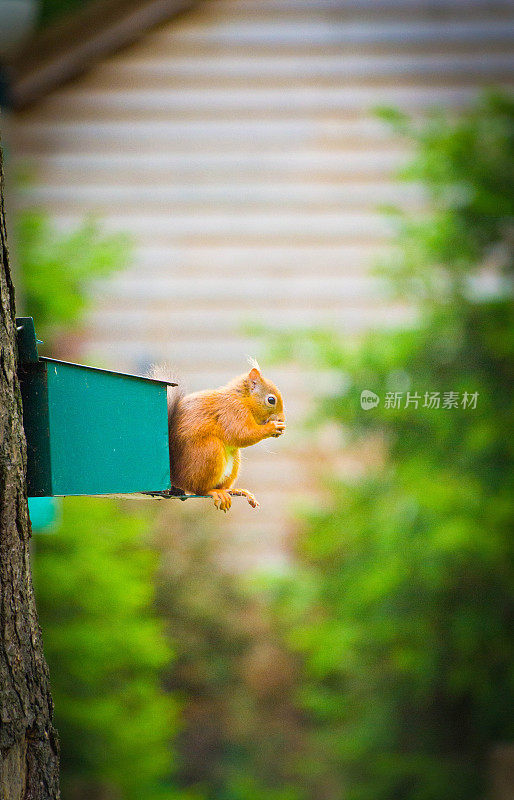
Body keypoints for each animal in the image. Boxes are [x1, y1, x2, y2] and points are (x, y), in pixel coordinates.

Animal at [162, 362, 284, 512]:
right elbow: (242, 434)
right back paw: (214, 492)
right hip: (210, 451)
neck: (243, 399)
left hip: (233, 459)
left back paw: (235, 491)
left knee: (223, 486)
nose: (282, 419)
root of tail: (176, 478)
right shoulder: (233, 412)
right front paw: (272, 427)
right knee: (198, 490)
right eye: (271, 400)